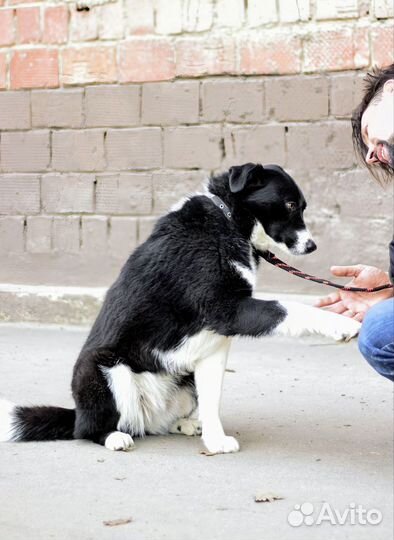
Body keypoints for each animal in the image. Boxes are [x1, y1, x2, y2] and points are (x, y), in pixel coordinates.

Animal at [0, 162, 362, 454]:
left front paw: (214, 441)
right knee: (88, 429)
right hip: (100, 368)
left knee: (161, 421)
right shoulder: (228, 311)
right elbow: (292, 307)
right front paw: (341, 325)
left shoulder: (216, 342)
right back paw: (113, 437)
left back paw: (185, 424)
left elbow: (213, 398)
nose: (312, 246)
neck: (227, 220)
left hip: (182, 377)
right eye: (290, 205)